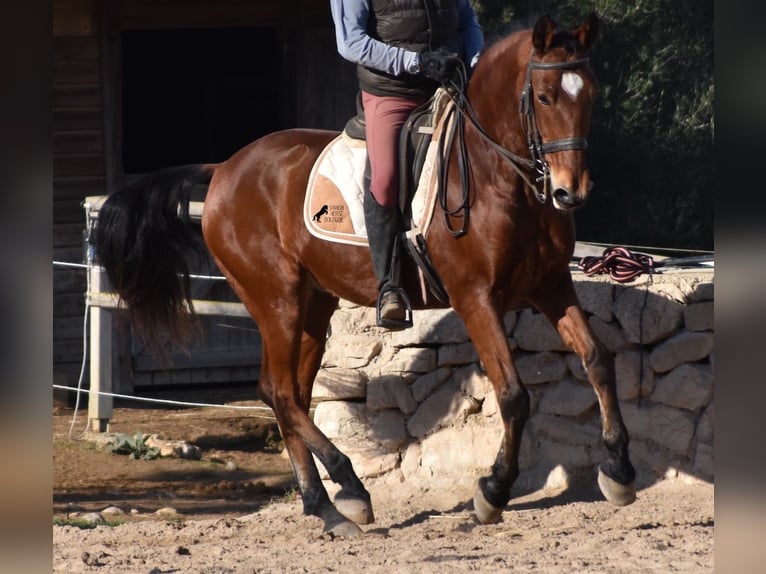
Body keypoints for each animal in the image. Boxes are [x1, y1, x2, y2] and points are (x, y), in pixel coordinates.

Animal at [96, 12, 636, 536]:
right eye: (544, 97)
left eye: (589, 94)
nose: (570, 191)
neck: (499, 178)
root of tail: (225, 168)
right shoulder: (476, 298)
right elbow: (513, 394)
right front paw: (493, 491)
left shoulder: (551, 285)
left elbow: (598, 361)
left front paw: (619, 472)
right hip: (275, 300)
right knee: (279, 394)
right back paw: (347, 485)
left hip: (313, 305)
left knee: (290, 394)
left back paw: (327, 505)